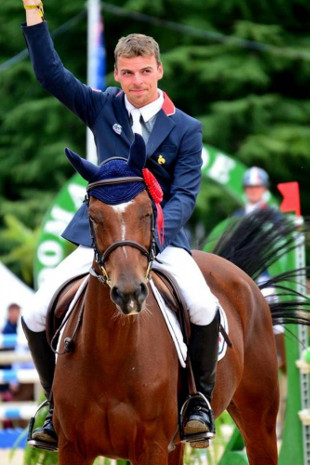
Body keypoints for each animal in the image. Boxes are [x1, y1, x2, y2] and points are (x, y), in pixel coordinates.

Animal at [51, 135, 310, 464]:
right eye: (94, 218)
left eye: (147, 211)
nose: (129, 293)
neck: (110, 352)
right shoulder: (72, 447)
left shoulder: (151, 447)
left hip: (258, 419)